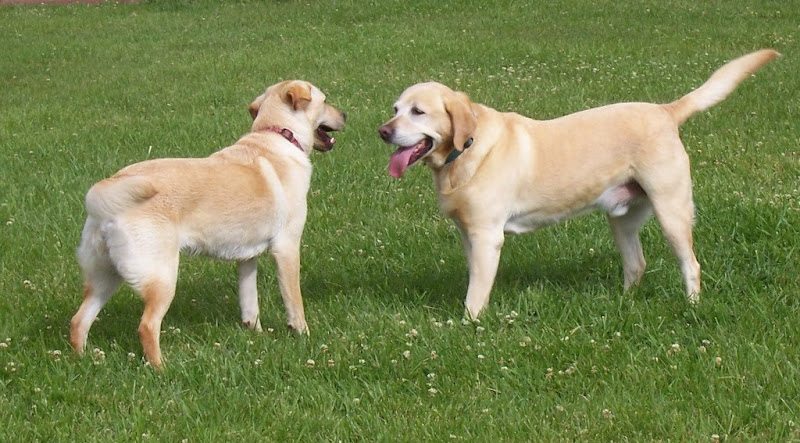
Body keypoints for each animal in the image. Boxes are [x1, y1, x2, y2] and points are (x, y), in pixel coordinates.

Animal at [74, 81, 346, 370]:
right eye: (325, 101)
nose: (345, 115)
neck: (277, 136)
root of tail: (108, 191)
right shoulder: (287, 249)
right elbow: (294, 301)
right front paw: (303, 335)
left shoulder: (247, 257)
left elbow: (250, 303)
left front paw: (255, 334)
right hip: (162, 279)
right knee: (146, 326)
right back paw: (162, 369)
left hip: (105, 277)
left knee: (79, 321)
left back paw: (83, 360)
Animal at [378, 49, 780, 320]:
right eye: (396, 109)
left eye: (418, 112)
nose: (382, 131)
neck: (466, 151)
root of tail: (665, 111)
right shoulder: (467, 234)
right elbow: (476, 279)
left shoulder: (486, 236)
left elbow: (476, 292)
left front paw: (469, 324)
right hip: (622, 218)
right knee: (637, 263)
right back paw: (624, 303)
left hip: (672, 211)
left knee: (691, 265)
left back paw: (692, 307)